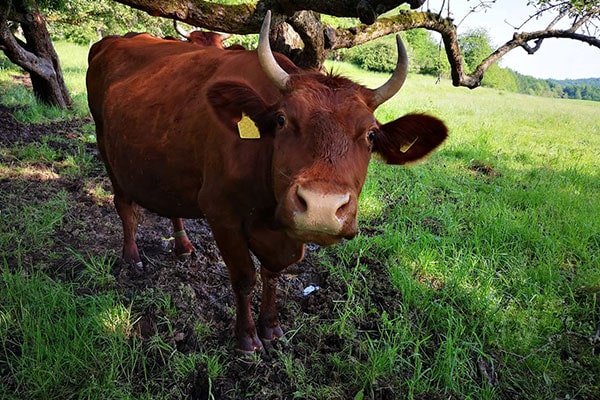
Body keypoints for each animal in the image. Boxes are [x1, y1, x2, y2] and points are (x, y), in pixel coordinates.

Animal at [86, 10, 448, 354]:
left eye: (371, 134)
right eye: (282, 120)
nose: (321, 207)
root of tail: (114, 40)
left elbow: (271, 275)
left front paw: (271, 328)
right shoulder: (220, 213)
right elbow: (244, 277)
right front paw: (247, 337)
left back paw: (183, 245)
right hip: (105, 144)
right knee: (124, 205)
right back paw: (131, 256)